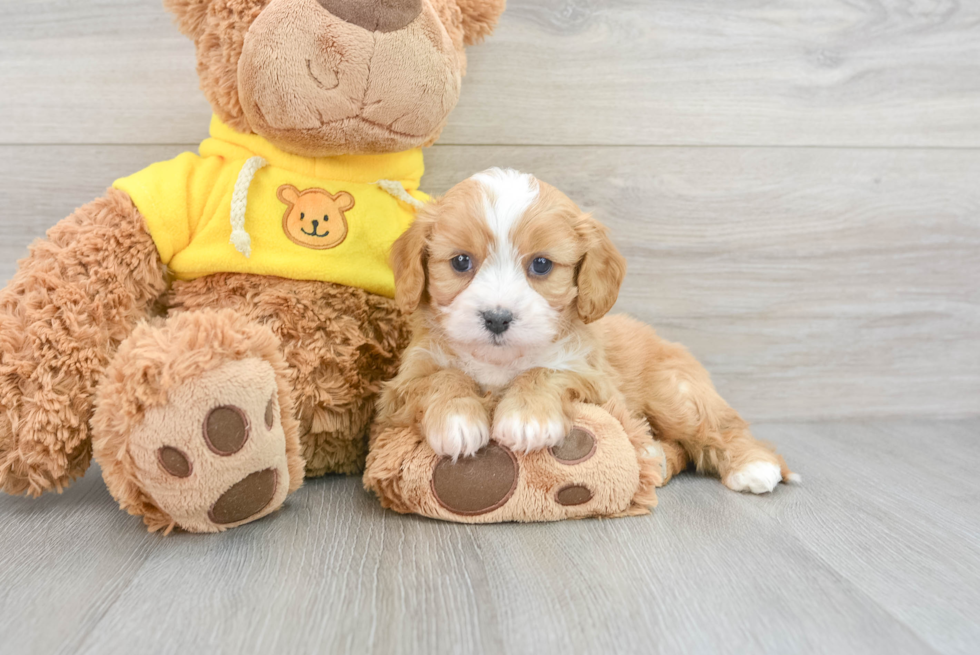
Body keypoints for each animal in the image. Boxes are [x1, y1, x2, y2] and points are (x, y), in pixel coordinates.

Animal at [378, 168, 792, 492]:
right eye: (461, 262)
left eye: (541, 265)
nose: (497, 317)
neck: (500, 361)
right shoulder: (401, 387)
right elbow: (442, 377)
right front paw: (457, 419)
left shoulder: (595, 380)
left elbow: (546, 371)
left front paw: (527, 418)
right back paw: (654, 456)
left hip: (675, 395)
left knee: (720, 427)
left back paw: (754, 465)